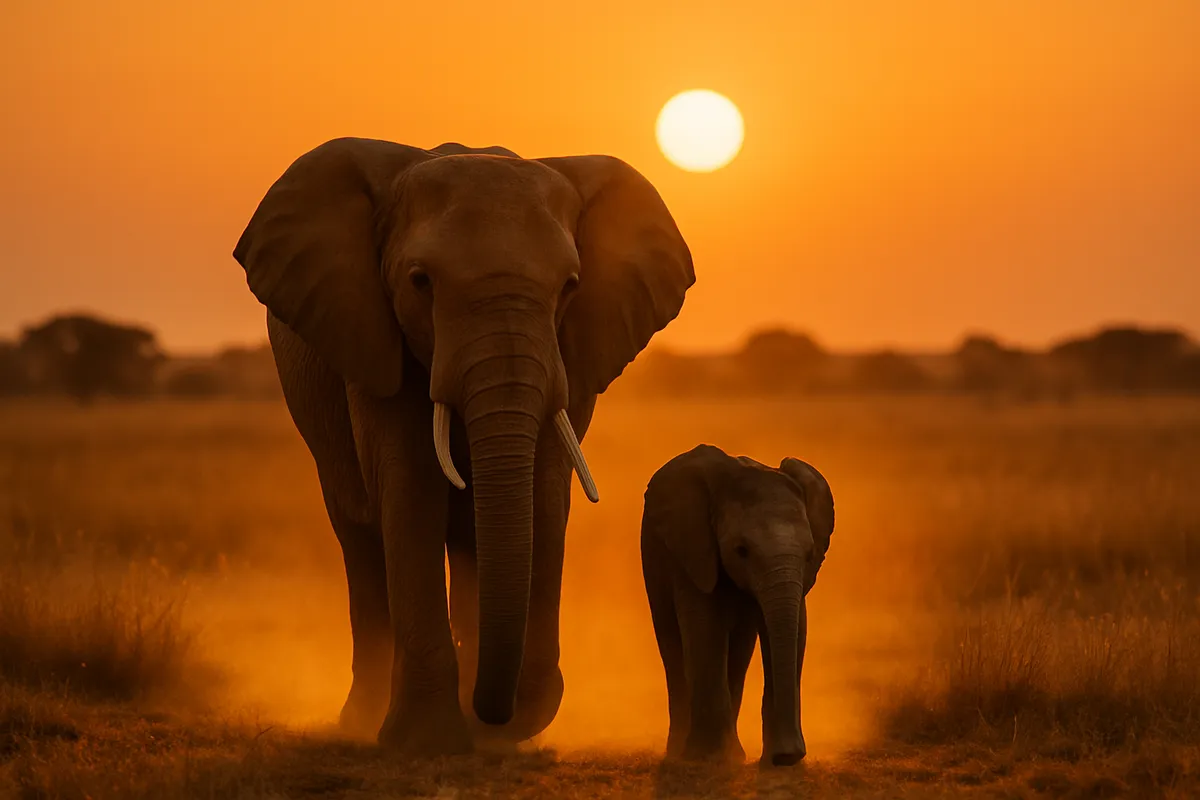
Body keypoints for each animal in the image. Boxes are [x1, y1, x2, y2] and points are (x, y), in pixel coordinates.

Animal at [232, 137, 694, 754]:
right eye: (420, 281)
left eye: (570, 286)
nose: (497, 717)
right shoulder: (374, 337)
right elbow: (410, 494)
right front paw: (426, 740)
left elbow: (546, 495)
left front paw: (500, 732)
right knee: (359, 536)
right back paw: (362, 721)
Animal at [639, 444, 834, 766]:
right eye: (741, 550)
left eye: (810, 554)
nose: (786, 757)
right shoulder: (694, 549)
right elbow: (706, 626)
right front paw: (709, 758)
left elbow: (796, 627)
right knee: (672, 643)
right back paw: (682, 752)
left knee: (740, 648)